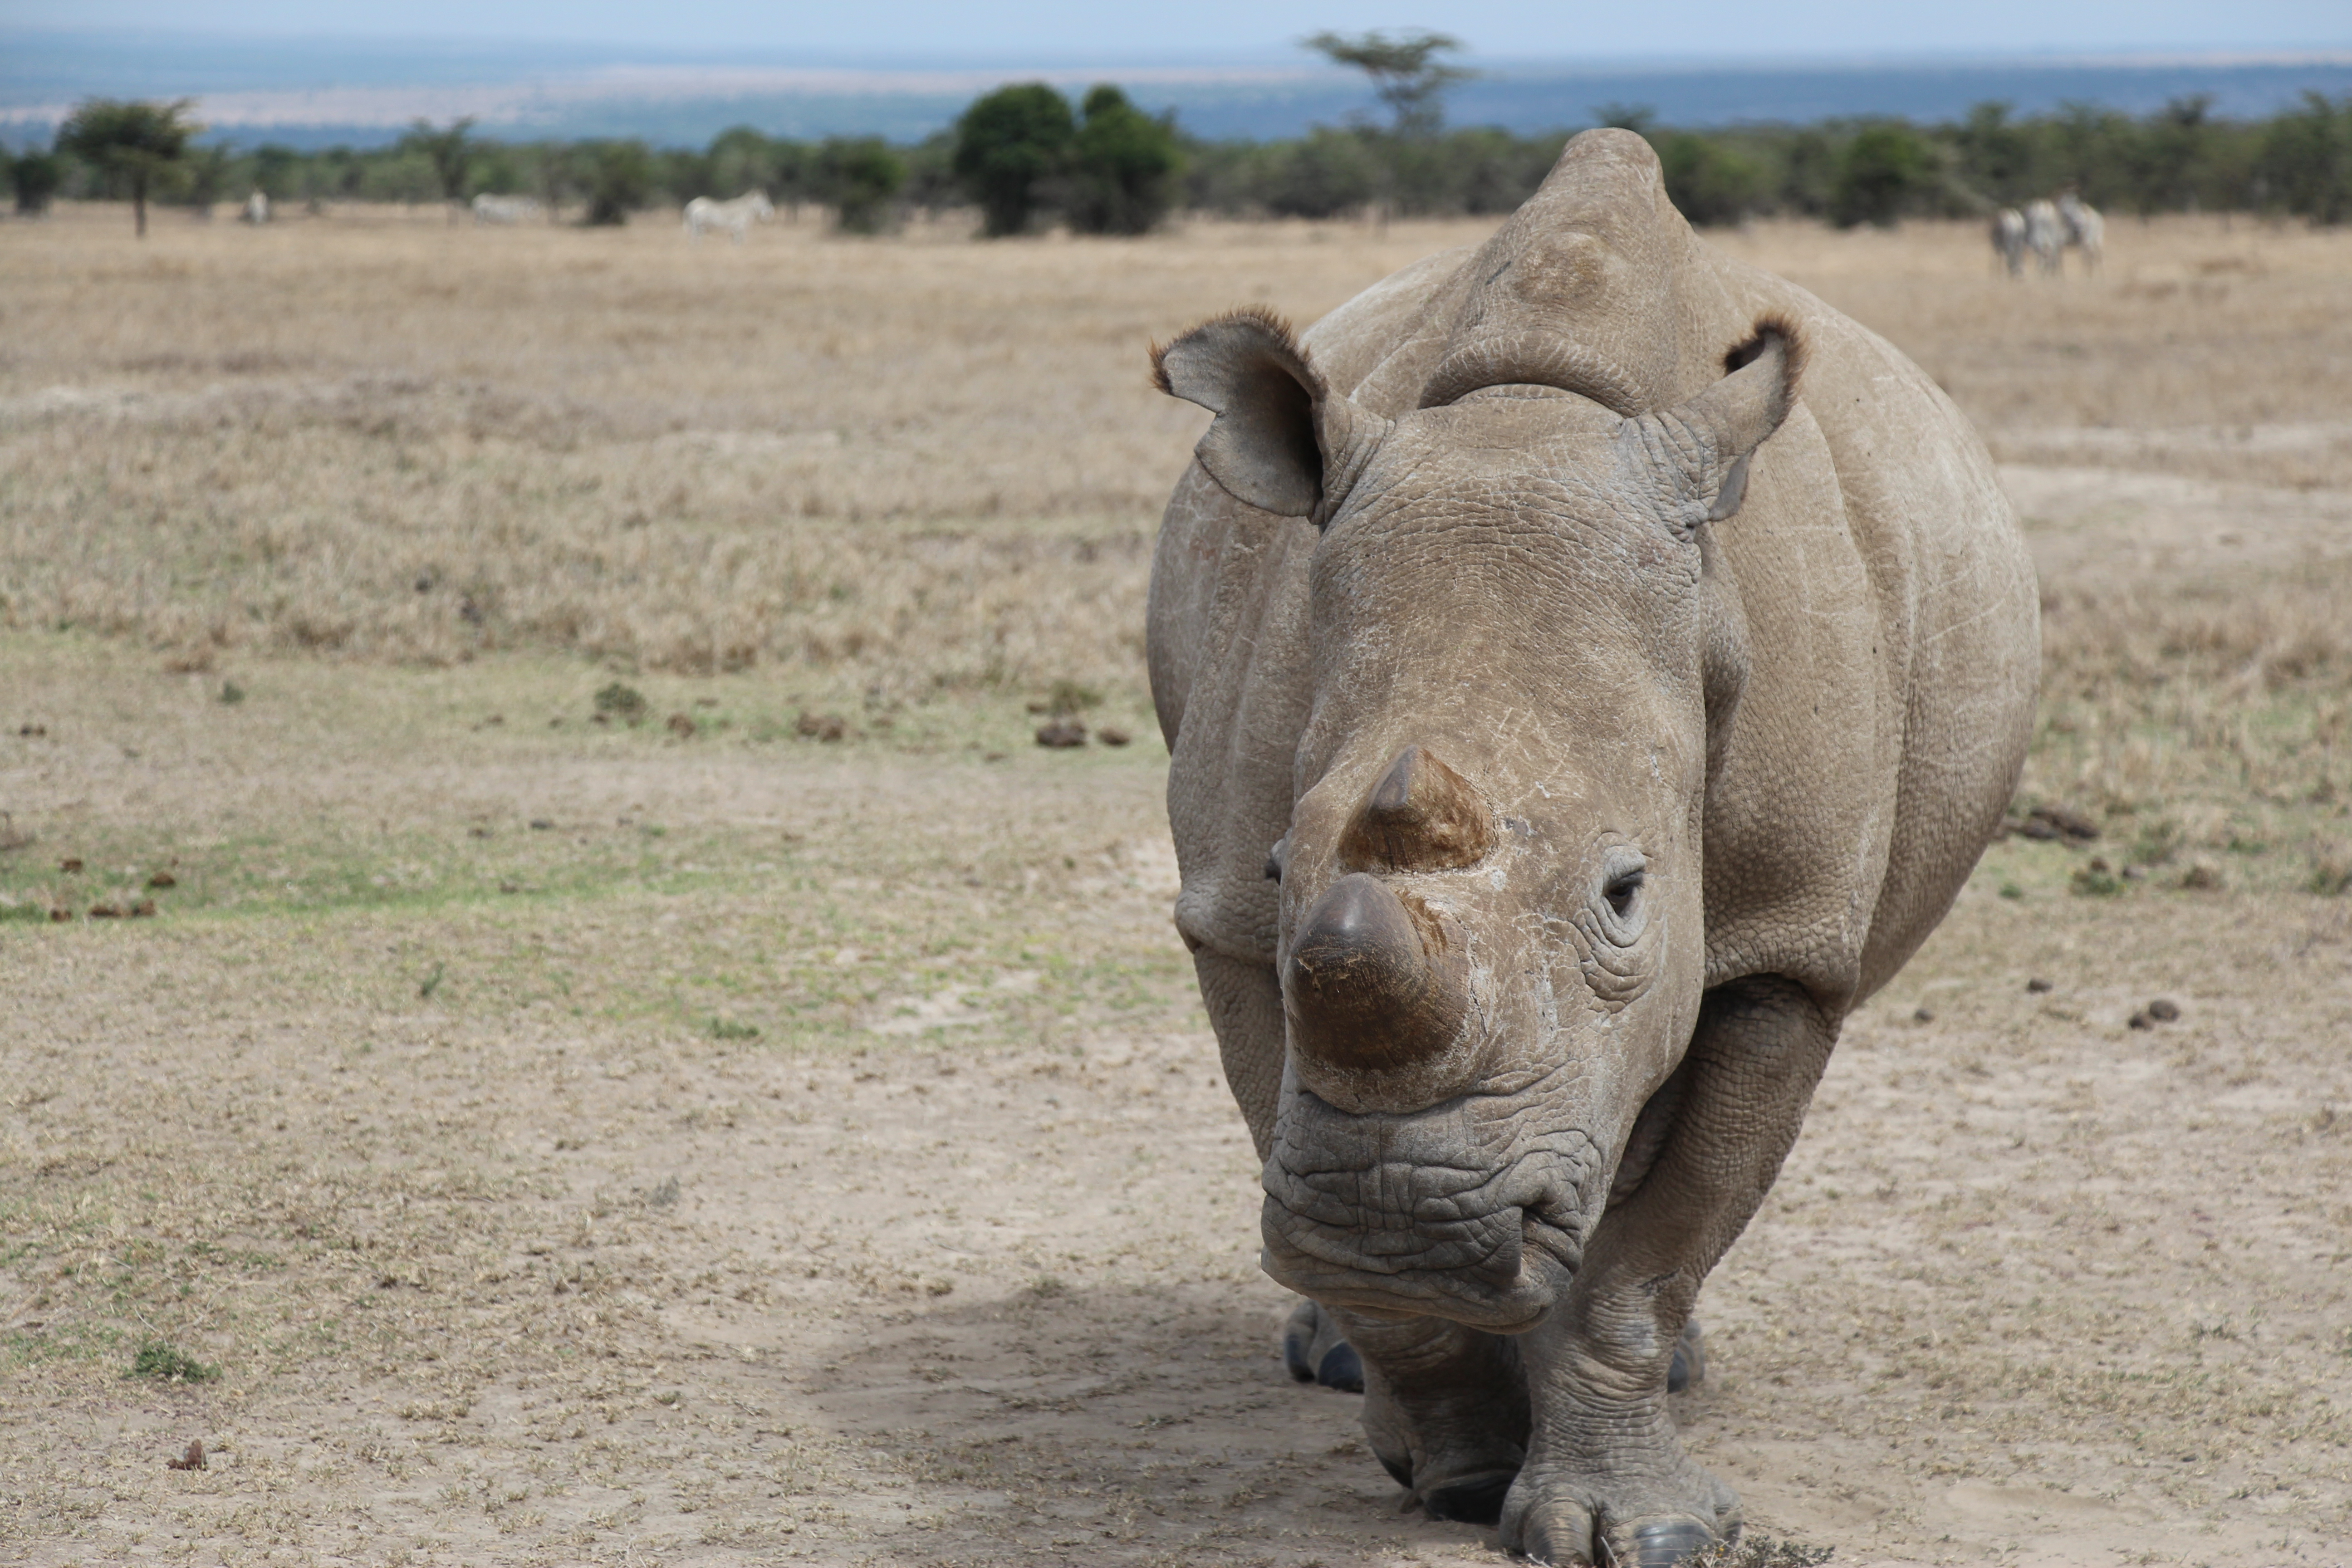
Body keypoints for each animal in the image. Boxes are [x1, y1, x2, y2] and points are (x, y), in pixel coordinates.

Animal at [1144, 131, 2037, 1566]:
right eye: (1284, 869)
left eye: (1628, 894)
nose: (1397, 1220)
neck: (1530, 425)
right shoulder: (1225, 915)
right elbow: (1292, 1097)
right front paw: (1451, 1463)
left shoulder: (1785, 941)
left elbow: (1656, 1249)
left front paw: (1642, 1527)